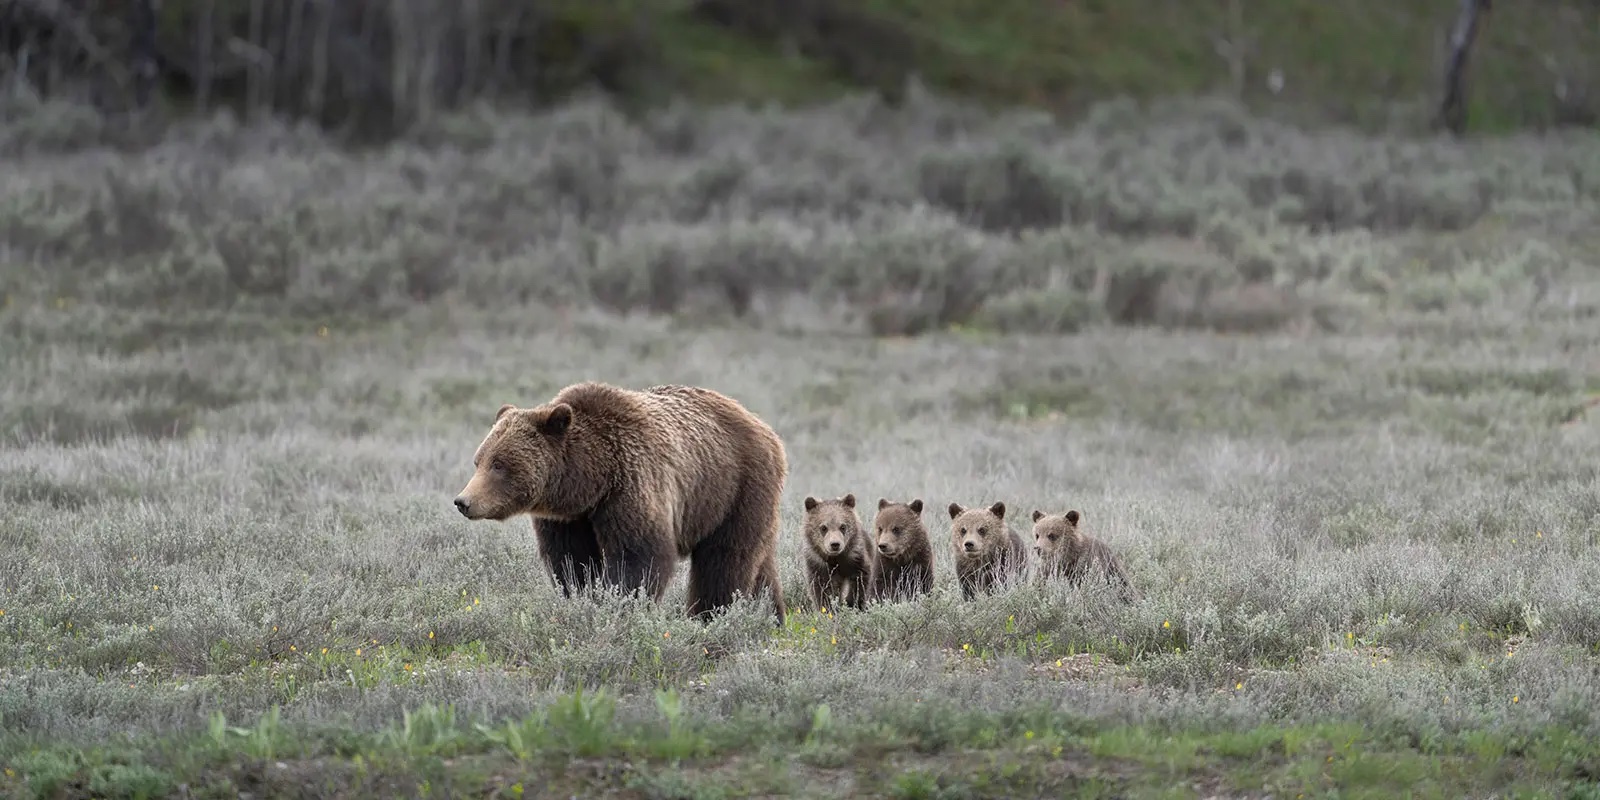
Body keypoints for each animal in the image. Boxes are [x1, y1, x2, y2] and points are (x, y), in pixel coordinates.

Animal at [451, 380, 787, 624]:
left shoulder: (631, 484)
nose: (463, 501)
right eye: (479, 460)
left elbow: (639, 556)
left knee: (725, 559)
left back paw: (710, 616)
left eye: (499, 464)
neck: (591, 479)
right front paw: (583, 597)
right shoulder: (569, 518)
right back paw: (770, 617)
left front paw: (619, 606)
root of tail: (764, 428)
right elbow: (572, 561)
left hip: (733, 488)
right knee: (760, 563)